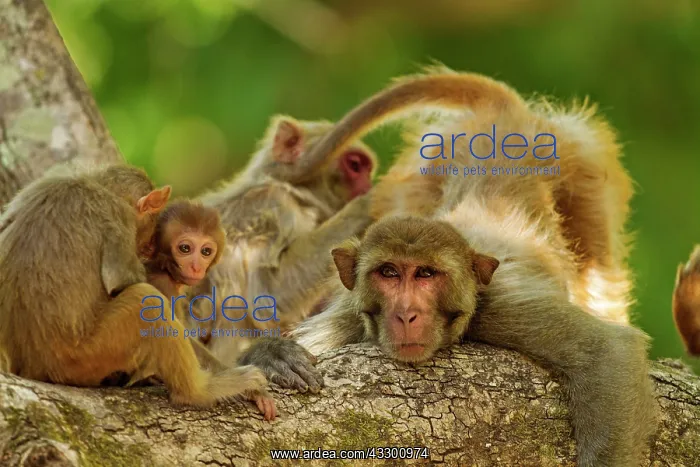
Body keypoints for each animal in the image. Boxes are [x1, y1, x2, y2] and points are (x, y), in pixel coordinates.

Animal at [0, 164, 268, 408]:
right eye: (185, 248)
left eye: (205, 251)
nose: (195, 267)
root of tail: (30, 366)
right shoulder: (118, 216)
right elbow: (124, 280)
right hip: (83, 358)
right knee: (147, 300)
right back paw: (199, 391)